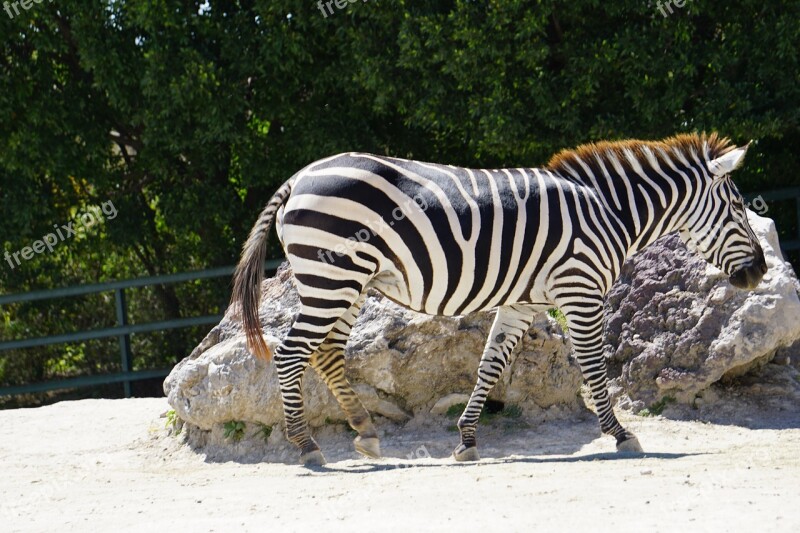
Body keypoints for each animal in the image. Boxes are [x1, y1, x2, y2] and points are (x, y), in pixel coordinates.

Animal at [230, 134, 764, 466]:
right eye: (739, 208)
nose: (759, 272)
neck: (610, 212)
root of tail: (299, 177)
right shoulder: (581, 290)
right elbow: (594, 369)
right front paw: (620, 434)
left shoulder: (524, 302)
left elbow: (490, 364)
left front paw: (466, 440)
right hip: (332, 276)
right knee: (291, 353)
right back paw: (307, 447)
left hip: (347, 283)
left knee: (325, 354)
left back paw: (365, 431)